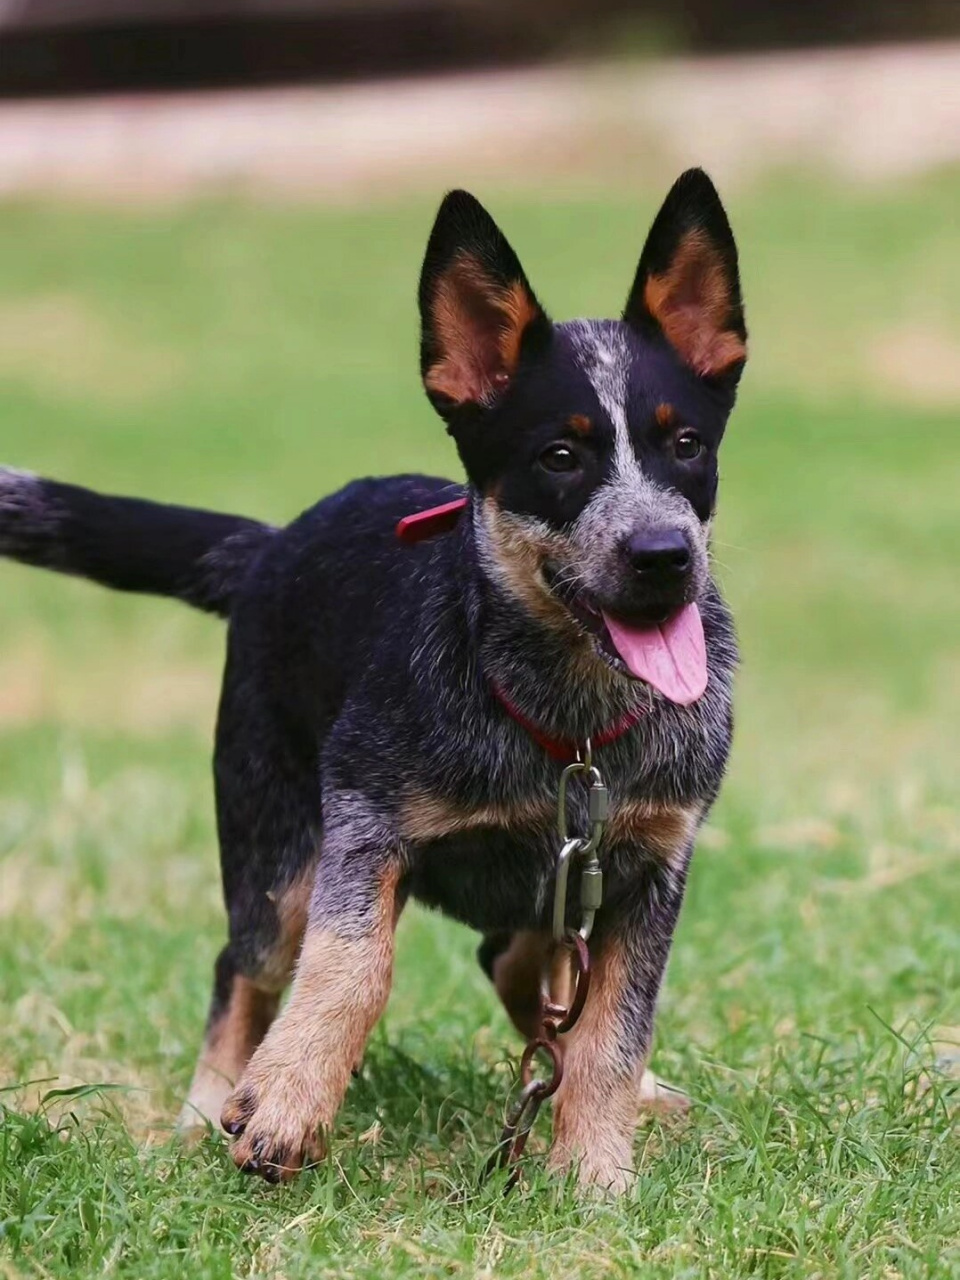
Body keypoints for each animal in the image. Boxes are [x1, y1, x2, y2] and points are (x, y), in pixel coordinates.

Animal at [0, 167, 742, 1187]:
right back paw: (201, 1109)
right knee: (250, 964)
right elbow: (354, 964)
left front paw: (595, 1174)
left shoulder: (651, 864)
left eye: (688, 446)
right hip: (274, 841)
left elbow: (613, 1030)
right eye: (559, 456)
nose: (664, 555)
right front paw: (287, 1100)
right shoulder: (362, 809)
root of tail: (270, 546)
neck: (568, 729)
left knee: (516, 961)